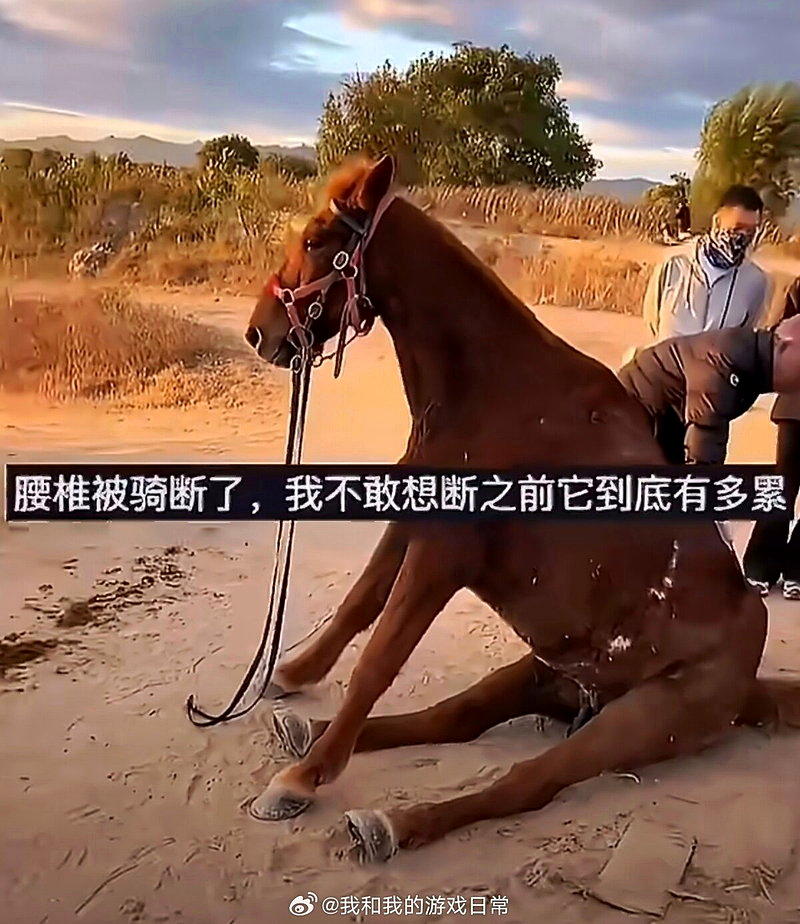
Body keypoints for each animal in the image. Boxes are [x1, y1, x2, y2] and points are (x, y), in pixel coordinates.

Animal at [244, 155, 799, 862]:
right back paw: (309, 735)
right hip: (542, 676)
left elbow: (378, 660)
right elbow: (360, 605)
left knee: (526, 784)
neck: (493, 390)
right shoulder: (414, 514)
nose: (260, 332)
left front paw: (306, 780)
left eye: (319, 240)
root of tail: (748, 680)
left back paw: (390, 820)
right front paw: (292, 676)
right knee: (452, 718)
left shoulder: (443, 556)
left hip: (639, 723)